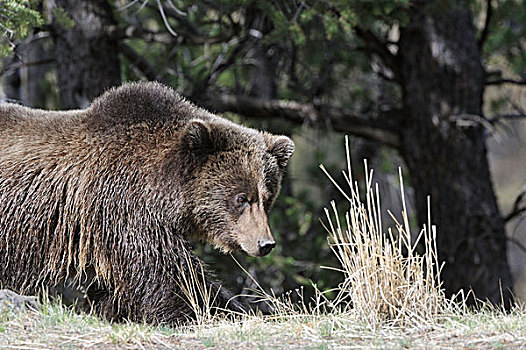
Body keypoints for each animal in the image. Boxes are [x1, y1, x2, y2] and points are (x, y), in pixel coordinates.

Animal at [0, 82, 292, 326]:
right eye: (241, 198)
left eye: (267, 197)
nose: (265, 243)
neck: (165, 189)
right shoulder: (125, 207)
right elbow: (168, 274)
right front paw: (221, 311)